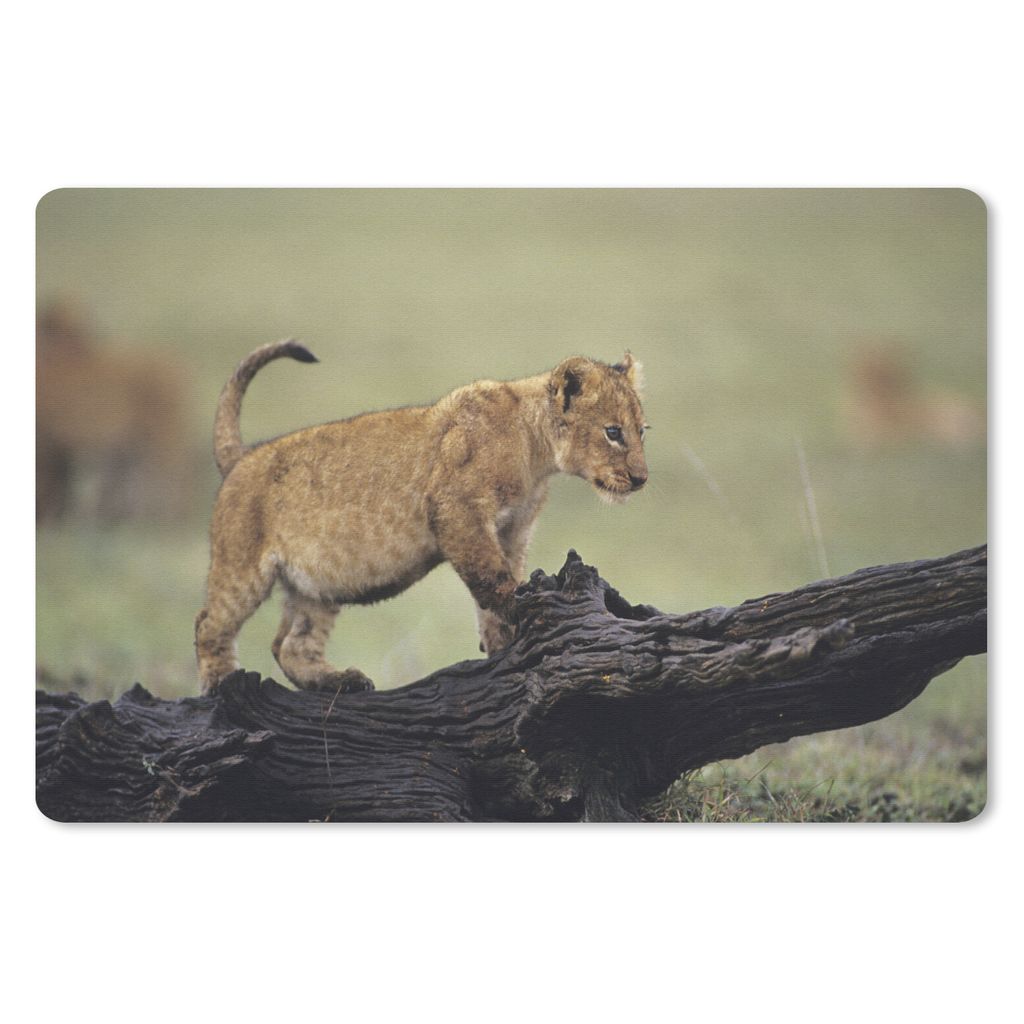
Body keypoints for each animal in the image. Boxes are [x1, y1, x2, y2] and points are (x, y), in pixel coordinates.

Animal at [195, 341, 649, 694]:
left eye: (642, 431)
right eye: (613, 432)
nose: (642, 479)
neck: (535, 451)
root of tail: (242, 456)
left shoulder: (511, 530)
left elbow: (494, 590)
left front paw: (501, 644)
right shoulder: (457, 510)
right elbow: (491, 579)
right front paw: (520, 612)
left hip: (316, 587)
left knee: (291, 645)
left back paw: (340, 681)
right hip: (241, 566)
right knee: (209, 624)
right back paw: (221, 683)